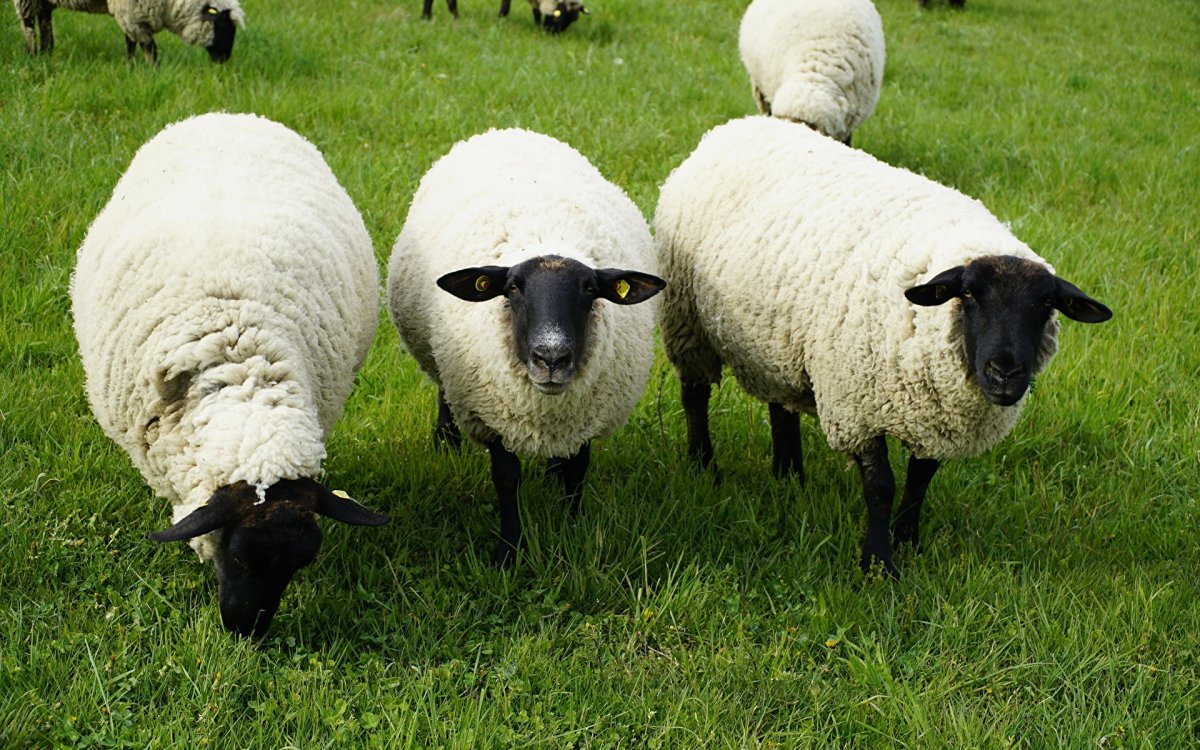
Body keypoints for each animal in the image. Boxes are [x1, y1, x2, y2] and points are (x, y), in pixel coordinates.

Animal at [13, 0, 244, 63]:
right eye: (224, 25)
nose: (224, 60)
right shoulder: (131, 10)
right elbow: (149, 46)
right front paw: (153, 72)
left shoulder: (131, 14)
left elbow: (130, 42)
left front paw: (130, 66)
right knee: (28, 24)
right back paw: (32, 54)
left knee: (44, 22)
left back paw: (45, 53)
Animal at [387, 128, 664, 566]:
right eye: (513, 288)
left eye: (590, 290)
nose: (551, 357)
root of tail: (510, 130)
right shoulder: (491, 414)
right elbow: (506, 479)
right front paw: (509, 551)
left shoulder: (584, 415)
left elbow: (577, 470)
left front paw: (571, 528)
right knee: (444, 392)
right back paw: (446, 442)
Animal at [655, 116, 1111, 577]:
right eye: (968, 294)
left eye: (1047, 304)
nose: (1005, 372)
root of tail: (735, 126)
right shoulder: (856, 407)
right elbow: (881, 487)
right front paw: (878, 564)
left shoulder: (936, 413)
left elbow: (919, 481)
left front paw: (909, 542)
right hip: (688, 320)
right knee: (695, 395)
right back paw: (704, 466)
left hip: (776, 341)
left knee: (781, 406)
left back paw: (789, 476)